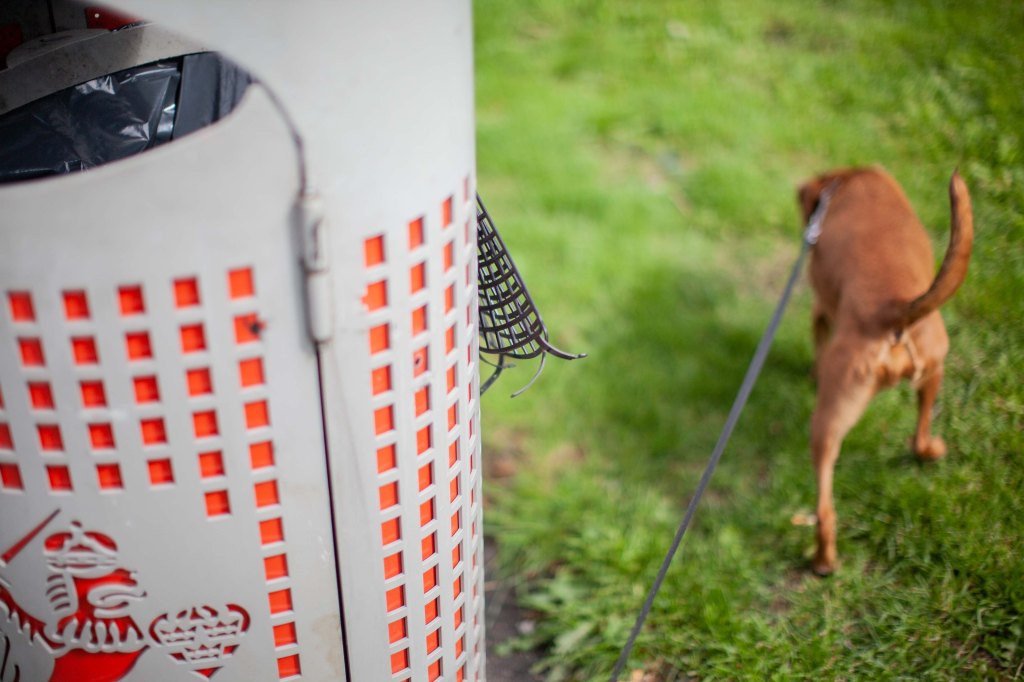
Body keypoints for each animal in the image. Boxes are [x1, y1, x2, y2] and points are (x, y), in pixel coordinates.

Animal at [796, 166, 973, 575]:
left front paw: (812, 374)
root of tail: (894, 309)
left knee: (825, 510)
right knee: (918, 439)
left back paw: (823, 562)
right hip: (932, 370)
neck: (844, 181)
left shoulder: (820, 310)